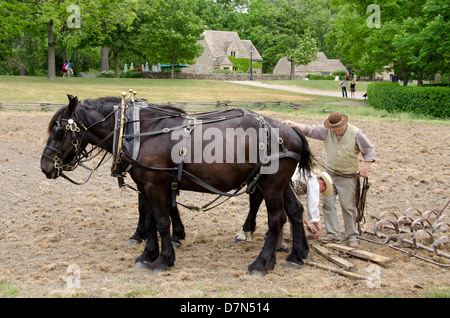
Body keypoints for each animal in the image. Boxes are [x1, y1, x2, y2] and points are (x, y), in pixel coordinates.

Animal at [40, 95, 312, 276]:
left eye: (59, 130)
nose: (45, 166)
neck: (138, 132)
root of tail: (291, 131)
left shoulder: (155, 184)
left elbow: (162, 222)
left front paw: (163, 259)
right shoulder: (146, 185)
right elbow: (150, 220)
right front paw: (147, 254)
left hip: (271, 185)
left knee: (277, 219)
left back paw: (261, 263)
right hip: (279, 184)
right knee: (295, 211)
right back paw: (296, 255)